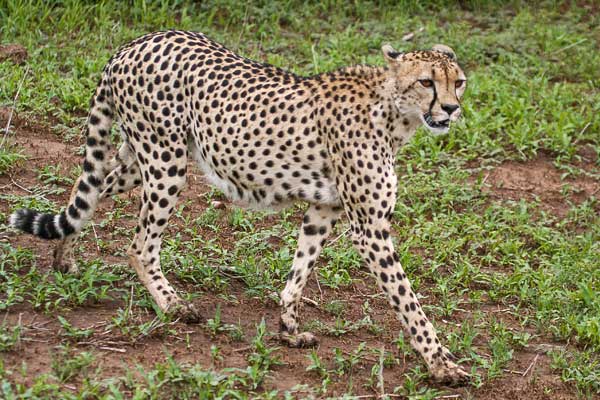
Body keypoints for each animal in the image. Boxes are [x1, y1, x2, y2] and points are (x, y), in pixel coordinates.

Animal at [8, 30, 468, 382]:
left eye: (458, 82)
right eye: (427, 82)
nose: (451, 109)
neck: (393, 111)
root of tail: (136, 42)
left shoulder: (324, 210)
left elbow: (299, 271)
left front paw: (288, 329)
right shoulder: (369, 226)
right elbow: (408, 301)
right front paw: (442, 364)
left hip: (142, 159)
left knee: (88, 192)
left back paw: (63, 257)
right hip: (165, 161)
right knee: (138, 244)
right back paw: (172, 304)